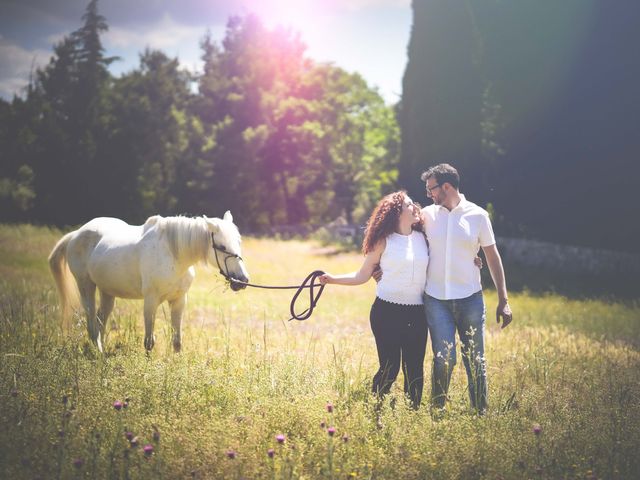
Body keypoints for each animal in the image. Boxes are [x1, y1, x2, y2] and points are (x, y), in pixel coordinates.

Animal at [48, 212, 249, 350]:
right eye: (221, 247)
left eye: (239, 242)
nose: (242, 280)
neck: (173, 254)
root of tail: (76, 234)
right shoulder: (151, 301)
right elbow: (149, 342)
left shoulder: (179, 300)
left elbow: (177, 342)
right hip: (86, 285)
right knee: (91, 322)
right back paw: (99, 354)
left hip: (107, 292)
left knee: (100, 320)